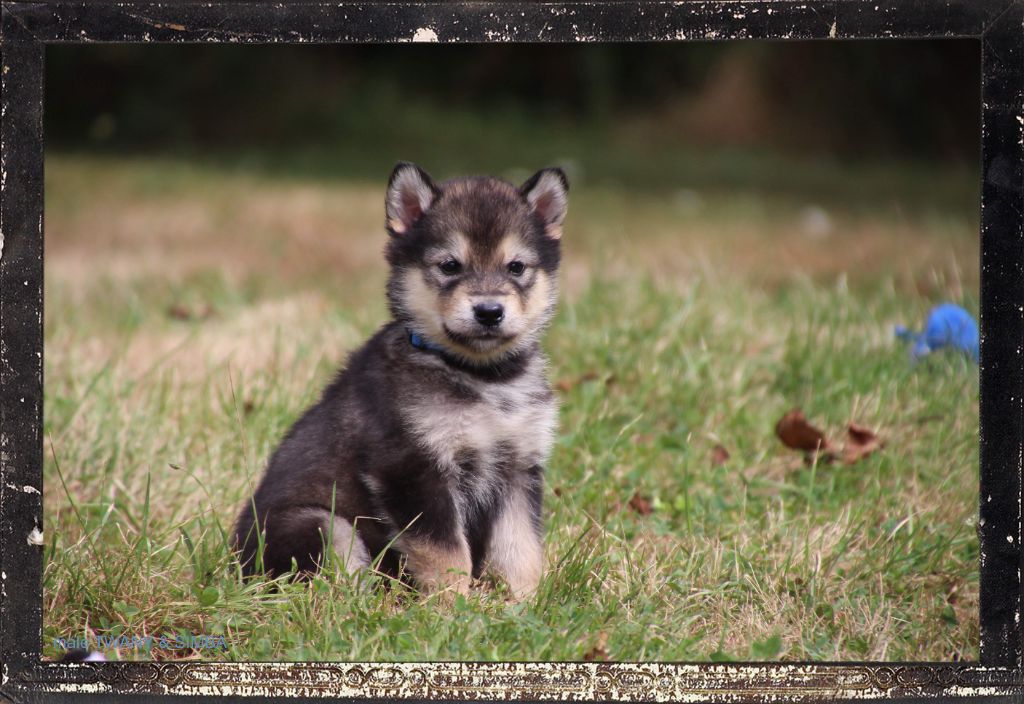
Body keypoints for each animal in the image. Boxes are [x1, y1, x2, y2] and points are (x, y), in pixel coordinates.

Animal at [232, 162, 569, 597]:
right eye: (450, 266)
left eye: (516, 267)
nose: (489, 311)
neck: (483, 378)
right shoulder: (411, 468)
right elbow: (446, 552)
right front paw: (453, 604)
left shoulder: (518, 469)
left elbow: (520, 550)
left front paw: (523, 602)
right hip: (321, 524)